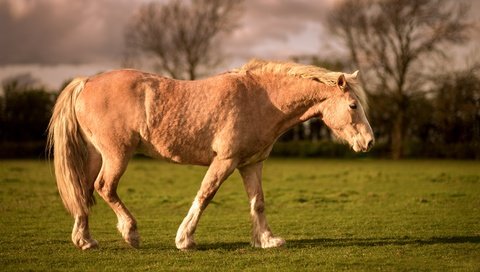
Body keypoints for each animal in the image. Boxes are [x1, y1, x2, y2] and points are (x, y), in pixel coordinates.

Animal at [47, 59, 374, 251]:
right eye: (353, 105)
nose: (369, 142)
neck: (260, 98)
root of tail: (86, 82)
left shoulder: (251, 164)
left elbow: (258, 203)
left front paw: (267, 240)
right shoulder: (225, 161)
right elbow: (205, 195)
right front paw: (184, 239)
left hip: (96, 155)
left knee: (84, 191)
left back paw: (85, 240)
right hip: (117, 155)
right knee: (104, 188)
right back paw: (131, 233)